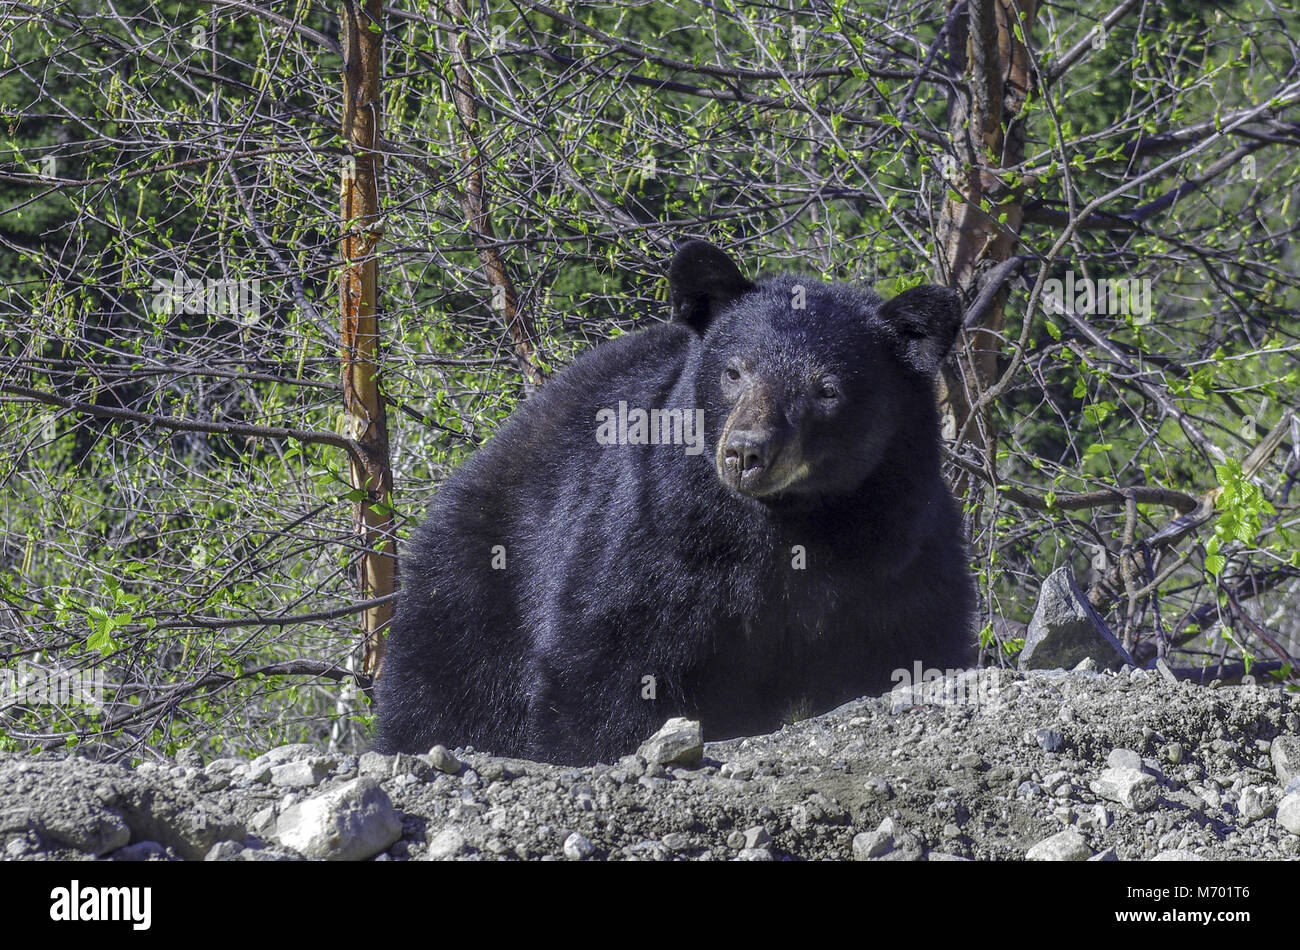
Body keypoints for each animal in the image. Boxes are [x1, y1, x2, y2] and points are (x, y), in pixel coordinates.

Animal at [377, 239, 977, 764]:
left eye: (827, 388)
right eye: (735, 370)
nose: (745, 452)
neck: (787, 522)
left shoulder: (902, 554)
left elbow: (911, 648)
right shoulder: (658, 540)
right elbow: (609, 668)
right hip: (479, 583)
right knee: (443, 689)